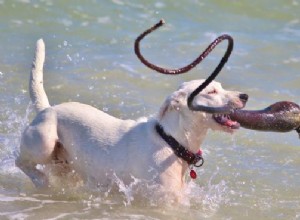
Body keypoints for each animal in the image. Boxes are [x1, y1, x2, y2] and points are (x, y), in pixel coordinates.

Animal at [15, 39, 248, 196]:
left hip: (66, 163)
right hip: (44, 142)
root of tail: (47, 109)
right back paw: (41, 181)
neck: (173, 141)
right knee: (21, 161)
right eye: (211, 91)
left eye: (221, 87)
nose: (245, 96)